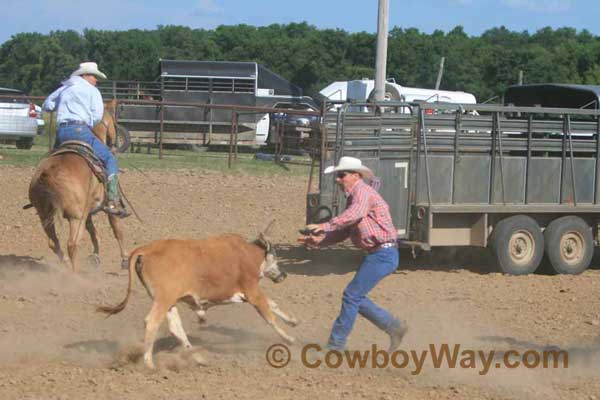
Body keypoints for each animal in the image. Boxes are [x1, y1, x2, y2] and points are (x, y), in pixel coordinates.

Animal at [27, 101, 128, 272]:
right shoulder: (109, 208)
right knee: (72, 244)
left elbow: (94, 233)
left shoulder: (87, 212)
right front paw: (125, 260)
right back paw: (75, 275)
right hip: (75, 218)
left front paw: (95, 257)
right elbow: (118, 231)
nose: (114, 145)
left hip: (45, 215)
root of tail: (47, 173)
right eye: (114, 123)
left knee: (53, 242)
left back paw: (66, 263)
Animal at [95, 233, 298, 368]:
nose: (284, 275)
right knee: (152, 322)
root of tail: (147, 249)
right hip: (164, 299)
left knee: (175, 327)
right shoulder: (252, 292)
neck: (248, 255)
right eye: (276, 258)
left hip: (169, 301)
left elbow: (273, 304)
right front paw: (288, 338)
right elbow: (270, 316)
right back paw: (149, 363)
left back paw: (197, 357)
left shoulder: (252, 294)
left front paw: (293, 320)